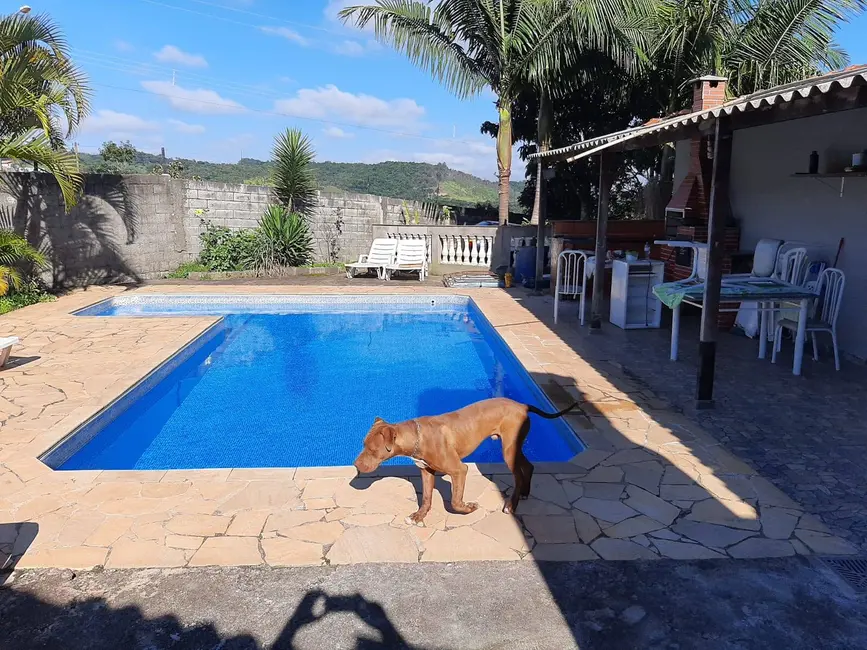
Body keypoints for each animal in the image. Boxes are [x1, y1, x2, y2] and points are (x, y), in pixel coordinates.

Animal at [356, 394, 580, 520]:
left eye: (372, 449)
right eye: (363, 444)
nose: (355, 464)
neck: (417, 436)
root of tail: (522, 405)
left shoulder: (459, 470)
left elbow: (455, 501)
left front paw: (469, 508)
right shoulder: (427, 471)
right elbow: (426, 498)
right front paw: (419, 516)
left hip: (508, 450)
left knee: (518, 474)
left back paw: (511, 505)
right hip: (514, 448)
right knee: (529, 466)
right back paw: (525, 492)